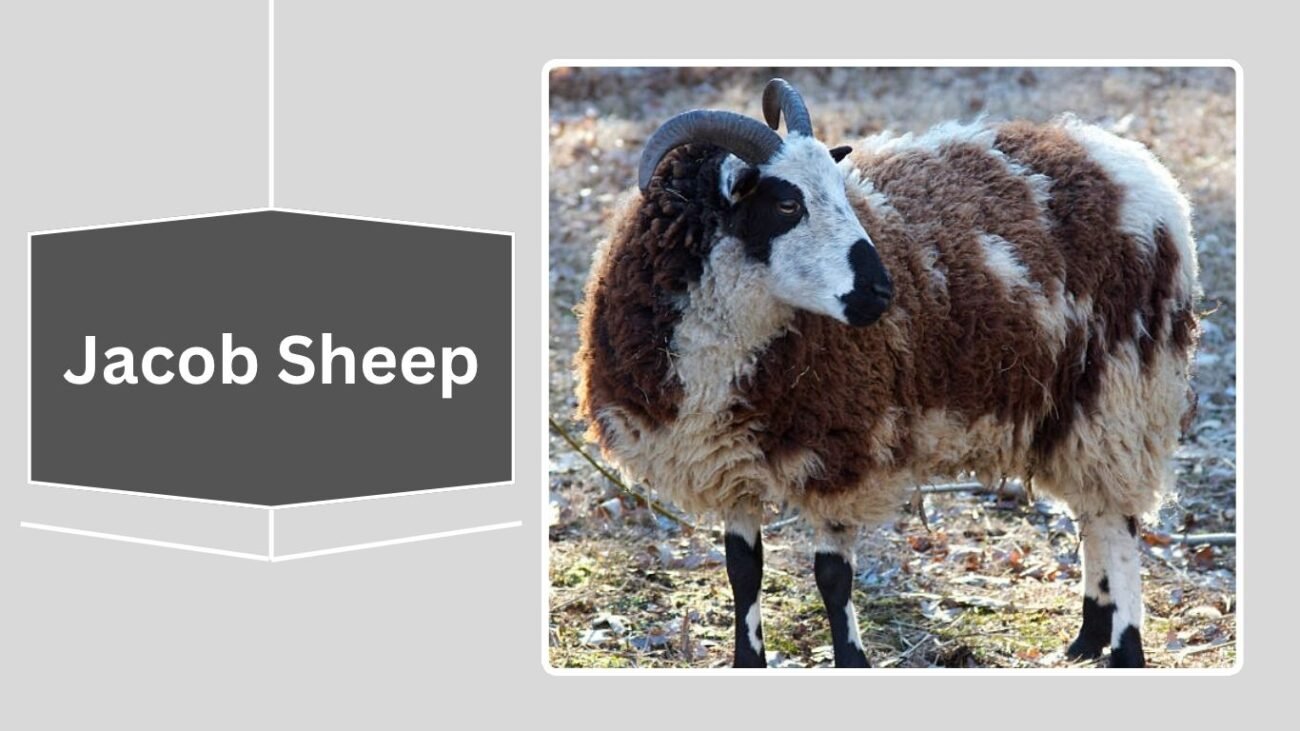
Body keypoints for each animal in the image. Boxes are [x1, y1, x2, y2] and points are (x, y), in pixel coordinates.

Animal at [573, 78, 1200, 668]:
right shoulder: (728, 462)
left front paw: (851, 660)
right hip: (1072, 407)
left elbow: (831, 576)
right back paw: (1088, 637)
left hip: (1122, 388)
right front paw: (748, 662)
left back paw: (1125, 648)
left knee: (1118, 522)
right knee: (1092, 511)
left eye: (838, 188)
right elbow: (742, 569)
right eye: (787, 205)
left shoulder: (840, 450)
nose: (881, 291)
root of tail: (1126, 160)